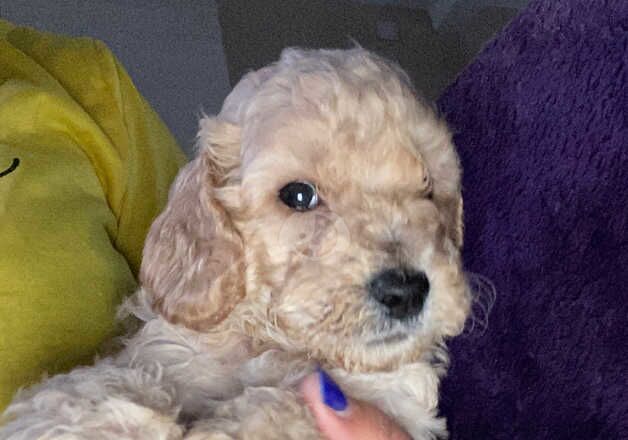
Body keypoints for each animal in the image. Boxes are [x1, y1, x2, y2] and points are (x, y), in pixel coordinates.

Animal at [0, 48, 468, 440]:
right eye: (299, 195)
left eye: (427, 188)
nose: (406, 291)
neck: (269, 340)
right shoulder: (171, 351)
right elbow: (108, 379)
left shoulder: (392, 391)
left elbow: (293, 406)